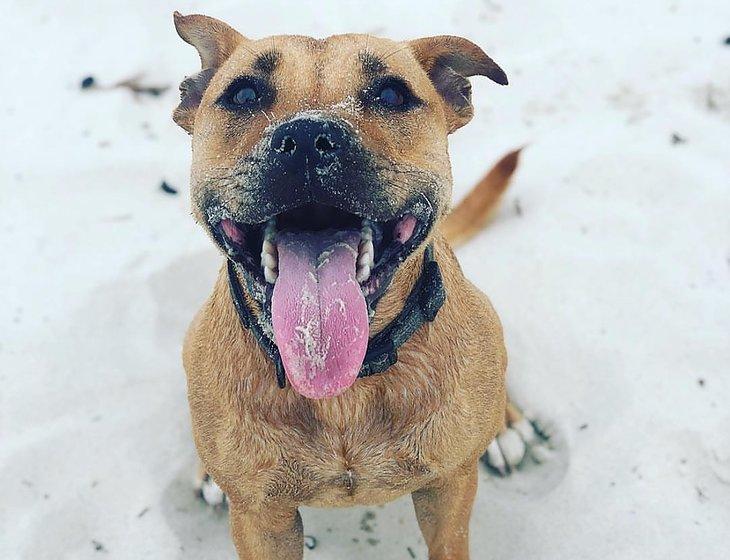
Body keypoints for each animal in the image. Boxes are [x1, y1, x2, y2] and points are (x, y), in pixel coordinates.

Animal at [173, 10, 544, 556]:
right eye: (243, 95)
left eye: (391, 94)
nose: (308, 138)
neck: (343, 391)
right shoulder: (261, 517)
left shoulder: (449, 492)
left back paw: (506, 425)